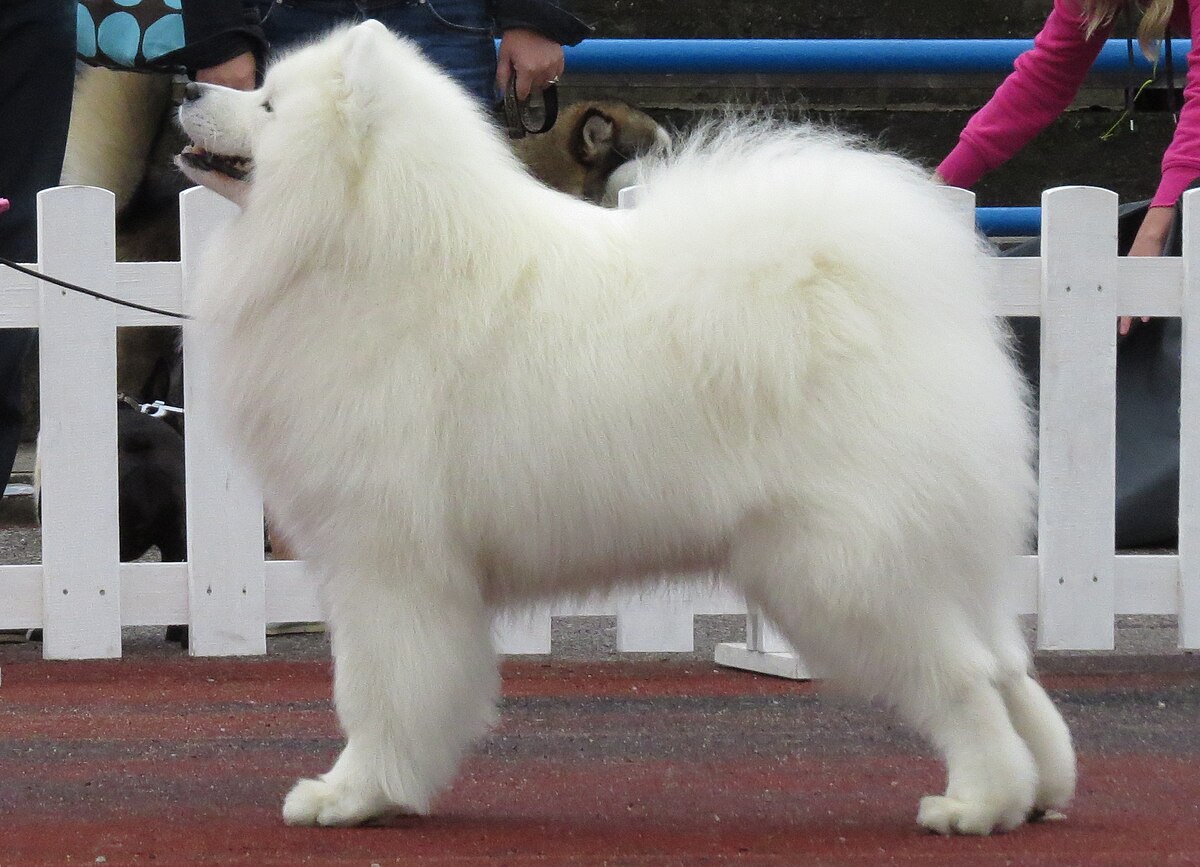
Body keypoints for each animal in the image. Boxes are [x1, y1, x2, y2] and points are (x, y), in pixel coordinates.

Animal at [175, 20, 1080, 830]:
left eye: (268, 105)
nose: (187, 85)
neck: (365, 241)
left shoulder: (384, 557)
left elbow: (375, 688)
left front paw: (354, 794)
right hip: (922, 554)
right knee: (1009, 667)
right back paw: (1039, 790)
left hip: (842, 568)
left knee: (964, 676)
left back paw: (978, 802)